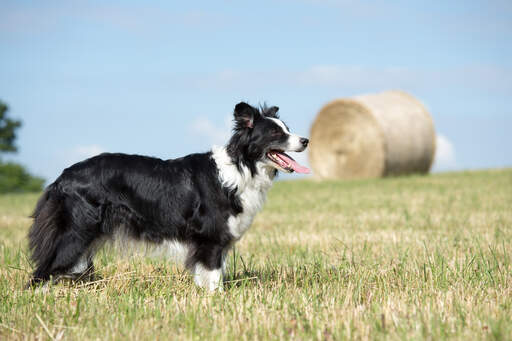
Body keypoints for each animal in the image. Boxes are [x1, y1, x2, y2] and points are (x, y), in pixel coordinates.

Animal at [28, 101, 310, 290]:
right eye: (276, 133)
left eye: (287, 129)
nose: (306, 140)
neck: (242, 166)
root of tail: (61, 178)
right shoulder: (210, 237)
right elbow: (213, 275)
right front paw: (216, 301)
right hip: (76, 231)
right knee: (43, 271)